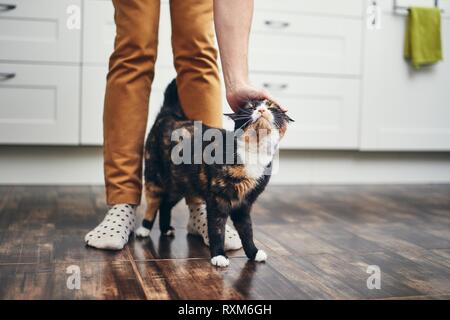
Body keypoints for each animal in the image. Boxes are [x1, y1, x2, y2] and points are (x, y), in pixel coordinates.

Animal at [135, 80, 294, 268]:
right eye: (250, 107)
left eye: (271, 107)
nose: (261, 110)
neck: (253, 151)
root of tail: (169, 115)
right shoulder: (218, 199)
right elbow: (217, 229)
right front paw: (218, 255)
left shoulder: (244, 203)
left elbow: (247, 230)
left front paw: (253, 252)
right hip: (155, 177)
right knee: (153, 203)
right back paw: (144, 228)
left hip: (180, 183)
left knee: (166, 204)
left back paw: (166, 228)